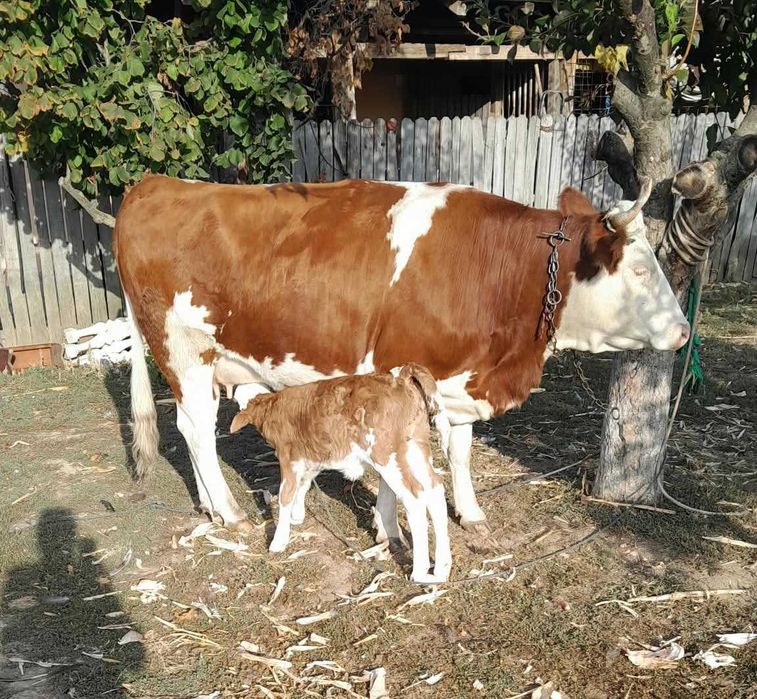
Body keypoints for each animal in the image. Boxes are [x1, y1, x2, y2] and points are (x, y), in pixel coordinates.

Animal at [113, 175, 690, 538]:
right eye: (641, 270)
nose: (683, 331)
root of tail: (155, 184)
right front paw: (391, 527)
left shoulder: (460, 377)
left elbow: (460, 451)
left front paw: (471, 513)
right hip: (184, 349)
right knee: (197, 428)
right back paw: (231, 513)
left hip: (197, 362)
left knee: (192, 428)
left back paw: (211, 507)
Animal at [228, 363, 452, 582]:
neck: (272, 406)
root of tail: (400, 378)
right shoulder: (310, 459)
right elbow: (303, 485)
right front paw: (297, 516)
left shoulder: (288, 458)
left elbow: (286, 494)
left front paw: (278, 541)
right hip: (415, 450)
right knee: (435, 489)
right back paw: (441, 569)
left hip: (386, 456)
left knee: (415, 498)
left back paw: (419, 572)